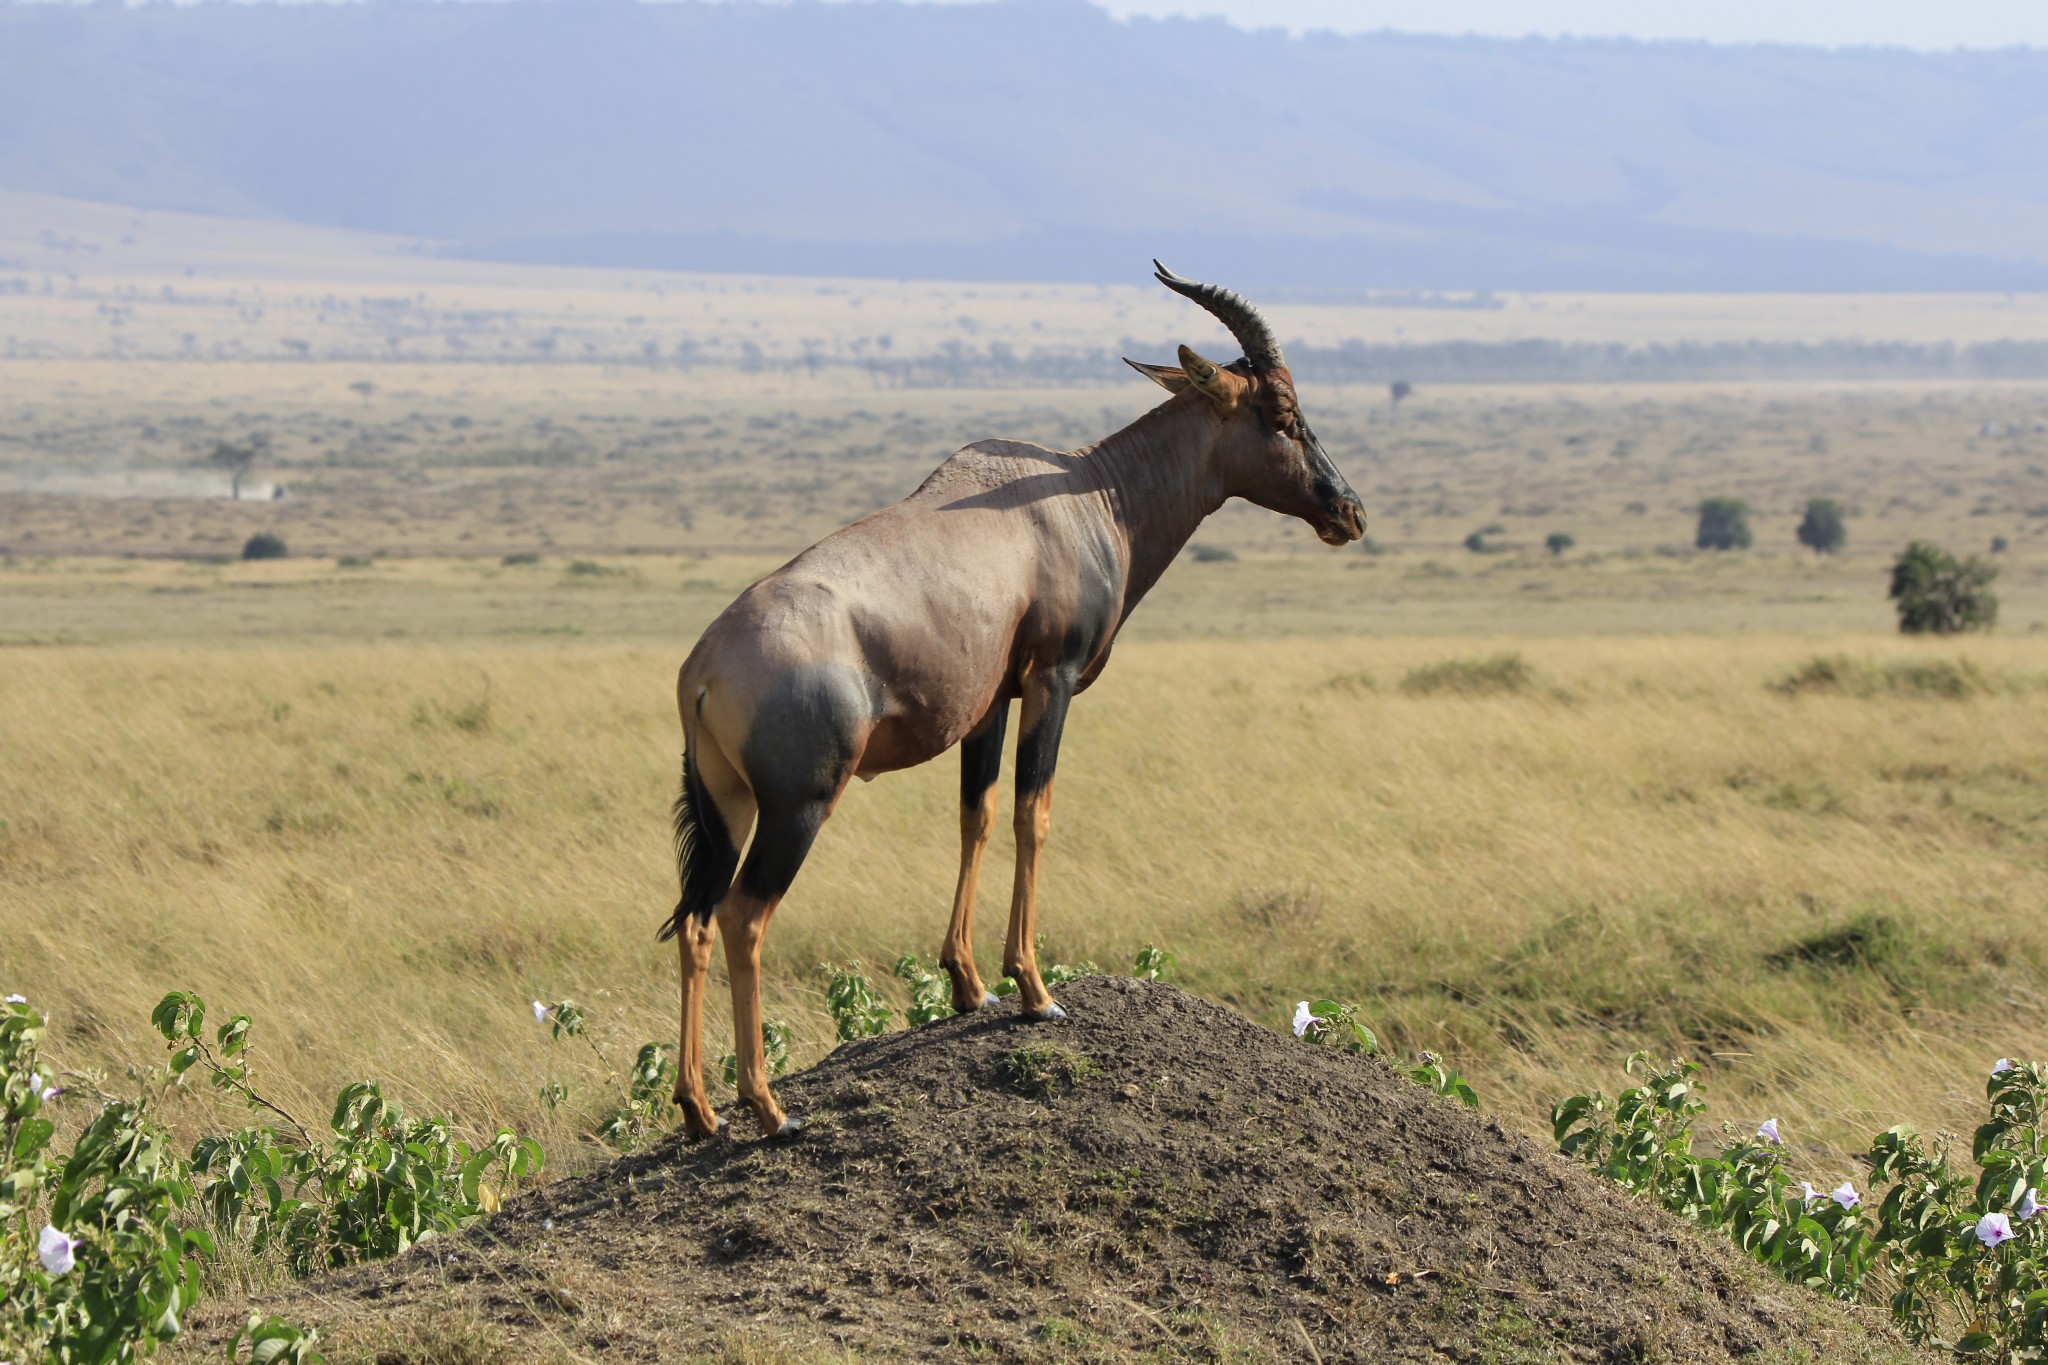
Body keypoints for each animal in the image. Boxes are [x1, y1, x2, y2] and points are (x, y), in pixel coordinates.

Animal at [667, 261, 1359, 1137]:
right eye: (1284, 415)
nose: (1348, 511)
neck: (1078, 496)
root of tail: (704, 670)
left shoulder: (989, 701)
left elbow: (980, 815)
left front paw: (968, 984)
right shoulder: (1051, 679)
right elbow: (1037, 811)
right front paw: (1034, 989)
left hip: (726, 802)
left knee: (693, 919)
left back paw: (698, 1108)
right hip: (798, 804)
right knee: (743, 917)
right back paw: (767, 1106)